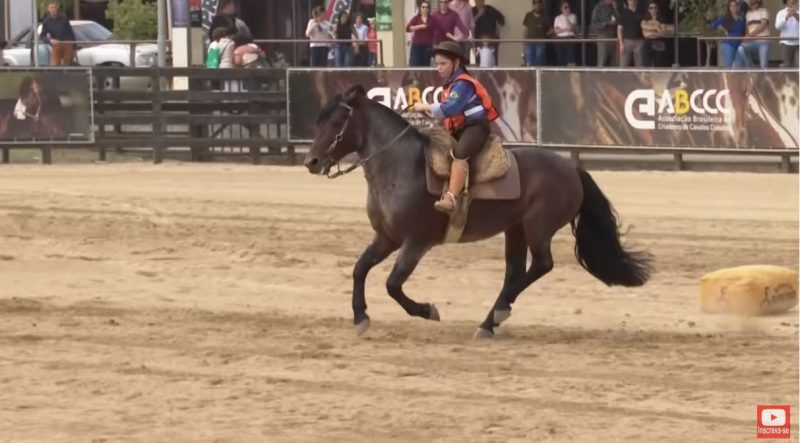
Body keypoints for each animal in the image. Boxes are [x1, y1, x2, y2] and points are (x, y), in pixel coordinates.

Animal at [303, 85, 654, 339]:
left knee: (541, 266)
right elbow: (360, 269)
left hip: (537, 228)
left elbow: (392, 284)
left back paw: (496, 315)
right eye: (317, 121)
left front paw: (427, 310)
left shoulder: (416, 242)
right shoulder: (386, 238)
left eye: (336, 122)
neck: (401, 167)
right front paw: (360, 316)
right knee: (515, 272)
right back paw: (490, 321)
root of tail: (571, 169)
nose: (311, 162)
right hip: (515, 230)